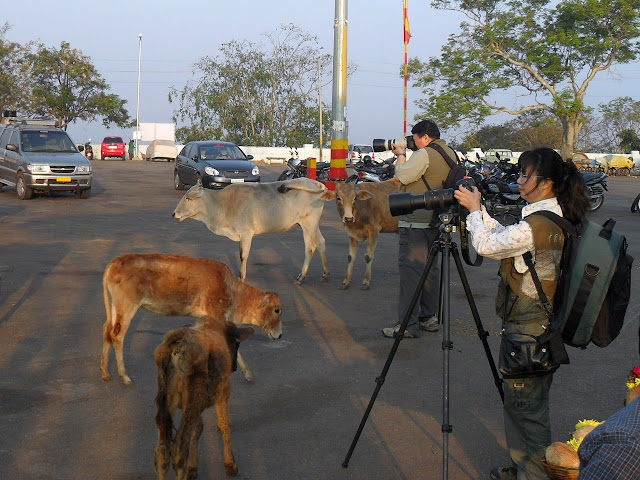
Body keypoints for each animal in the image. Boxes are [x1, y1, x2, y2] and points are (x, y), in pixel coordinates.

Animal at [101, 255, 282, 386]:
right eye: (277, 310)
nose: (280, 335)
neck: (232, 291)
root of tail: (114, 263)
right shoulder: (217, 318)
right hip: (127, 306)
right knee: (117, 336)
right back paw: (124, 376)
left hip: (116, 307)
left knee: (107, 331)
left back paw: (105, 372)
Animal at [155, 316, 255, 478]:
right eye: (236, 343)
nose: (234, 367)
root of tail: (175, 347)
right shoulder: (223, 393)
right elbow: (224, 425)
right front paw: (230, 464)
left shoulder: (196, 405)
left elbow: (198, 429)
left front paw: (193, 467)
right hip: (192, 397)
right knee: (179, 447)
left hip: (166, 401)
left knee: (162, 450)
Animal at [172, 178, 338, 284]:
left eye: (188, 198)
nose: (174, 214)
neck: (223, 203)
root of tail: (318, 185)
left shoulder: (246, 233)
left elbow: (243, 255)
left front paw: (241, 277)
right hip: (313, 225)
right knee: (321, 242)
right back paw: (326, 274)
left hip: (308, 224)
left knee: (310, 247)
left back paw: (301, 277)